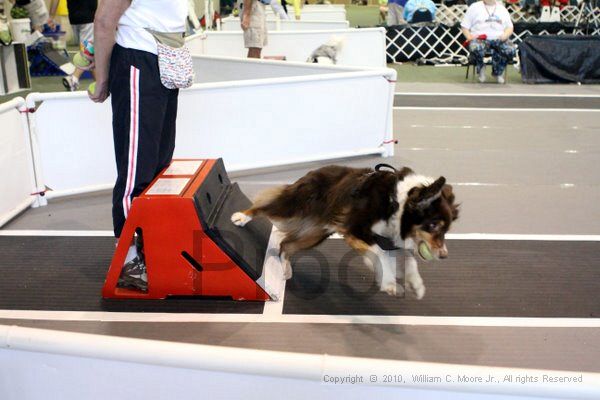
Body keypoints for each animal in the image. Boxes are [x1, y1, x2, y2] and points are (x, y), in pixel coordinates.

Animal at [231, 164, 460, 298]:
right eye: (433, 225)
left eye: (447, 229)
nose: (444, 255)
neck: (396, 203)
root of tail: (315, 170)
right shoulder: (355, 229)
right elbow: (380, 256)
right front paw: (389, 283)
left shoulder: (390, 240)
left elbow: (409, 259)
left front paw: (415, 283)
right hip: (295, 205)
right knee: (265, 206)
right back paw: (241, 217)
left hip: (317, 233)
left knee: (285, 244)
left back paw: (286, 269)